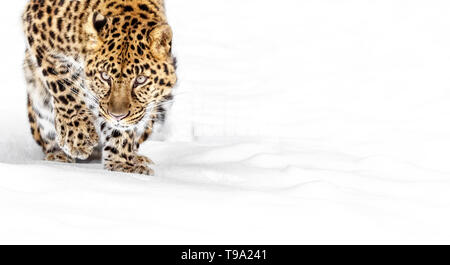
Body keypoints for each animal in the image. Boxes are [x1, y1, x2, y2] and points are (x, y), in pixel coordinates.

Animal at [22, 0, 178, 175]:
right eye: (104, 76)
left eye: (140, 79)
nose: (117, 115)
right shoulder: (38, 31)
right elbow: (64, 85)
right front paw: (77, 135)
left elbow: (120, 129)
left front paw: (121, 163)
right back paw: (58, 158)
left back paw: (136, 157)